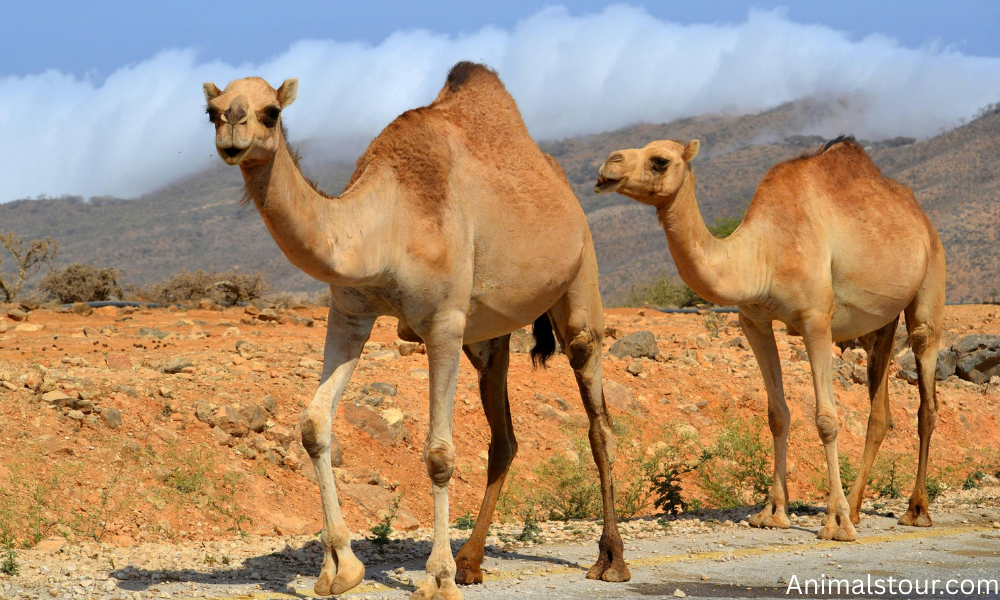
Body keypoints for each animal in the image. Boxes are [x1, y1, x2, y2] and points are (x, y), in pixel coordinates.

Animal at [202, 62, 630, 599]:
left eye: (271, 112)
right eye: (211, 111)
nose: (231, 132)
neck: (386, 224)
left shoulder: (443, 322)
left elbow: (440, 454)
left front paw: (437, 578)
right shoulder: (349, 313)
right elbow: (314, 425)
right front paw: (340, 567)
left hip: (579, 277)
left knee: (597, 415)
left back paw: (609, 560)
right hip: (487, 337)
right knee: (504, 438)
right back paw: (471, 562)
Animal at [594, 137, 945, 541]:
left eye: (660, 160)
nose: (608, 166)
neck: (762, 254)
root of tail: (921, 218)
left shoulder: (815, 318)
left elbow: (826, 420)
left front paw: (835, 522)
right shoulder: (754, 320)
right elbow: (777, 414)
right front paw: (773, 512)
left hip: (930, 284)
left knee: (926, 394)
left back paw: (914, 511)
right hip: (880, 322)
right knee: (880, 411)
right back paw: (858, 509)